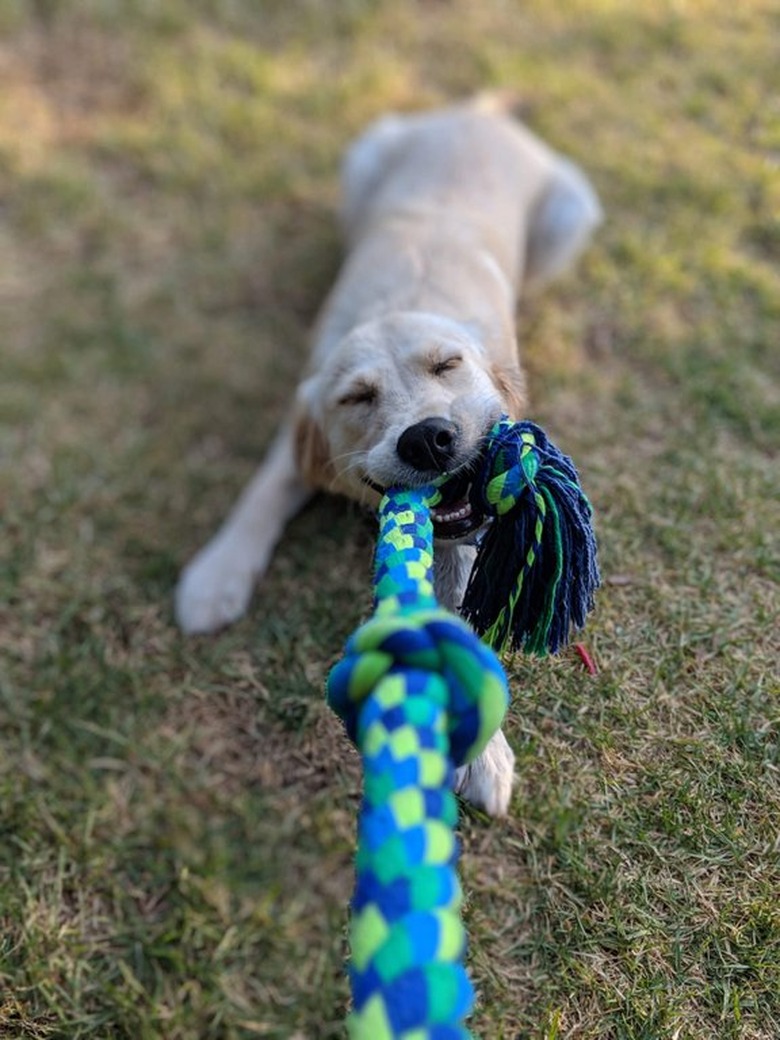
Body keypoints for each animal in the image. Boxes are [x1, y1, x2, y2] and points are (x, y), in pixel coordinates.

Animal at [175, 95, 603, 811]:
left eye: (448, 364)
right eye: (356, 397)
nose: (428, 437)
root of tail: (481, 109)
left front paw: (483, 756)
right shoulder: (297, 425)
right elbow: (260, 496)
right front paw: (216, 576)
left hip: (569, 214)